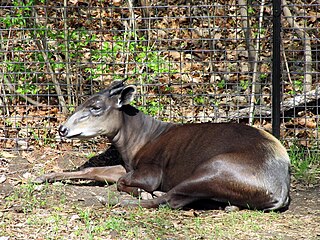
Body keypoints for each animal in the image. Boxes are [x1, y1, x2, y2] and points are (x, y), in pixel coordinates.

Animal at [36, 80, 292, 210]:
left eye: (96, 106)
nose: (62, 129)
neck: (138, 140)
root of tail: (280, 191)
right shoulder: (127, 165)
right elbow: (94, 171)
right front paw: (41, 176)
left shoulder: (152, 171)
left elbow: (122, 182)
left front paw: (141, 191)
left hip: (216, 168)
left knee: (170, 200)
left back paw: (114, 200)